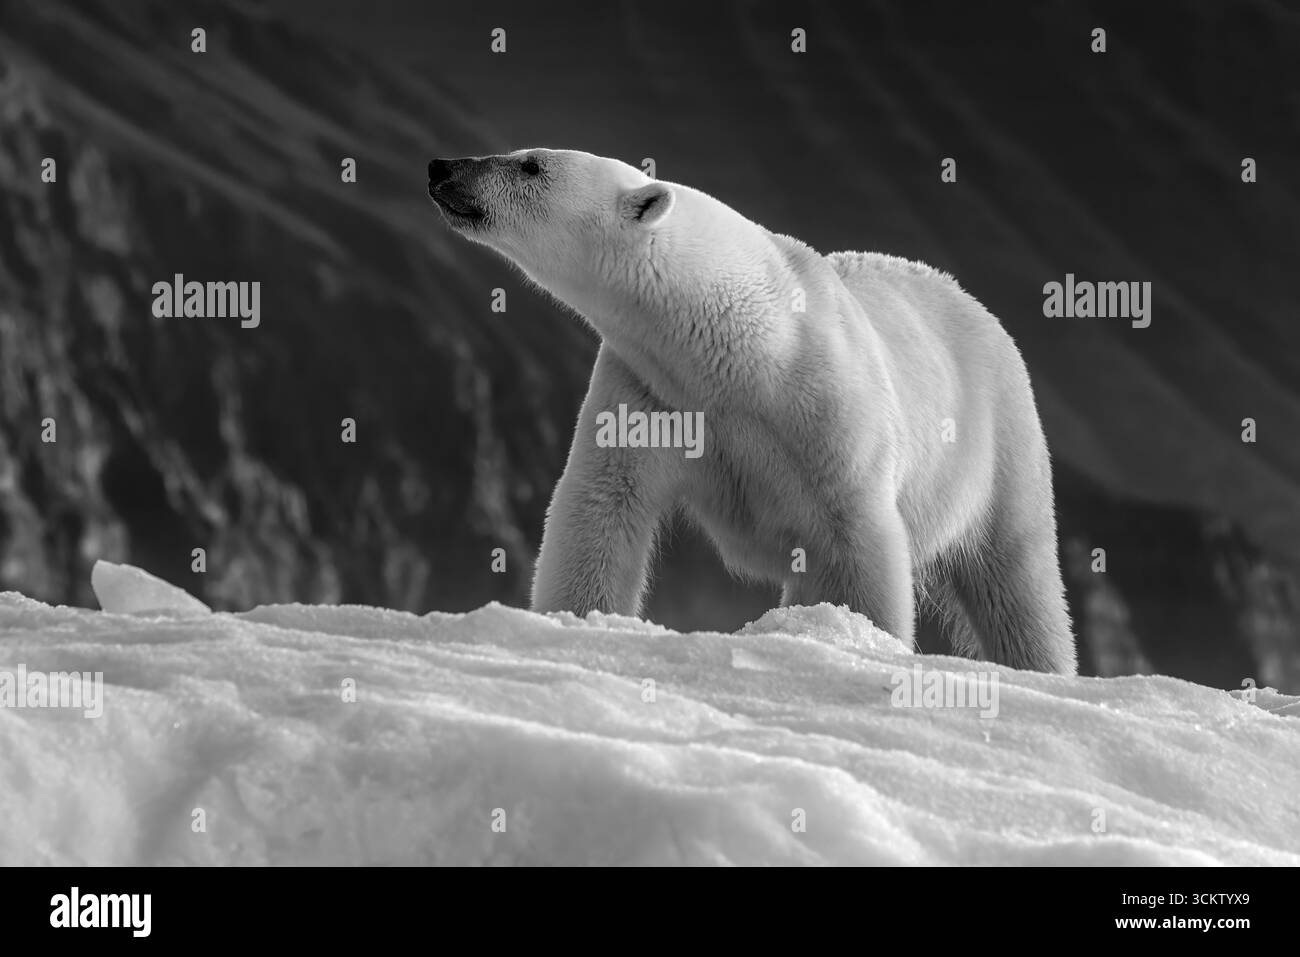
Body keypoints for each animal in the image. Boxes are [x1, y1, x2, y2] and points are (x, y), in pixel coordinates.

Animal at [428, 149, 1076, 675]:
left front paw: (857, 641)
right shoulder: (649, 388)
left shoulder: (825, 404)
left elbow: (855, 533)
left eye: (530, 164)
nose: (443, 168)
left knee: (1017, 577)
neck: (744, 346)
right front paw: (573, 621)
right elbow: (602, 502)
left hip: (999, 442)